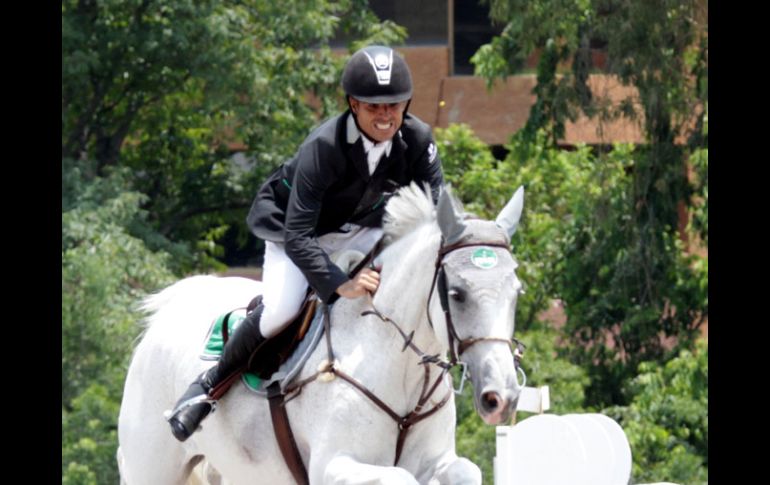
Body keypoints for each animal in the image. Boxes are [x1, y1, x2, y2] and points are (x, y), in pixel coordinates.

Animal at [118, 182, 528, 484]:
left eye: (516, 292)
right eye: (457, 294)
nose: (501, 398)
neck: (401, 371)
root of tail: (170, 310)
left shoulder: (438, 460)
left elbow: (465, 471)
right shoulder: (335, 466)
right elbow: (400, 478)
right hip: (151, 466)